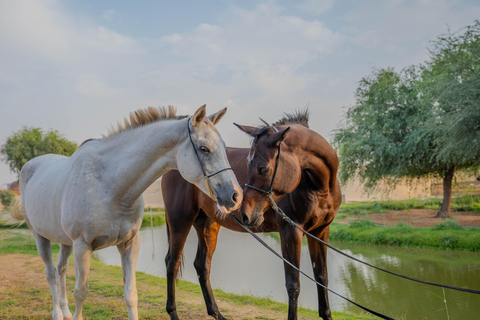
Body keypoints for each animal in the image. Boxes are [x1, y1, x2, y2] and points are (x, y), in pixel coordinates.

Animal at [11, 104, 244, 318]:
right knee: (51, 273)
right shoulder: (82, 247)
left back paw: (65, 310)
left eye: (224, 147)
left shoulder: (129, 244)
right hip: (41, 237)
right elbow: (81, 292)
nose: (236, 196)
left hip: (65, 241)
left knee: (61, 269)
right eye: (204, 148)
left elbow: (131, 294)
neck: (109, 185)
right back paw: (57, 313)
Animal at [162, 110, 342, 320]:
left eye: (263, 169)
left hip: (207, 224)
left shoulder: (320, 232)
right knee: (172, 263)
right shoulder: (291, 231)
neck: (318, 186)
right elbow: (293, 284)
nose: (245, 214)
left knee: (202, 265)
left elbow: (322, 277)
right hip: (180, 221)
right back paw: (173, 312)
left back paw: (217, 313)